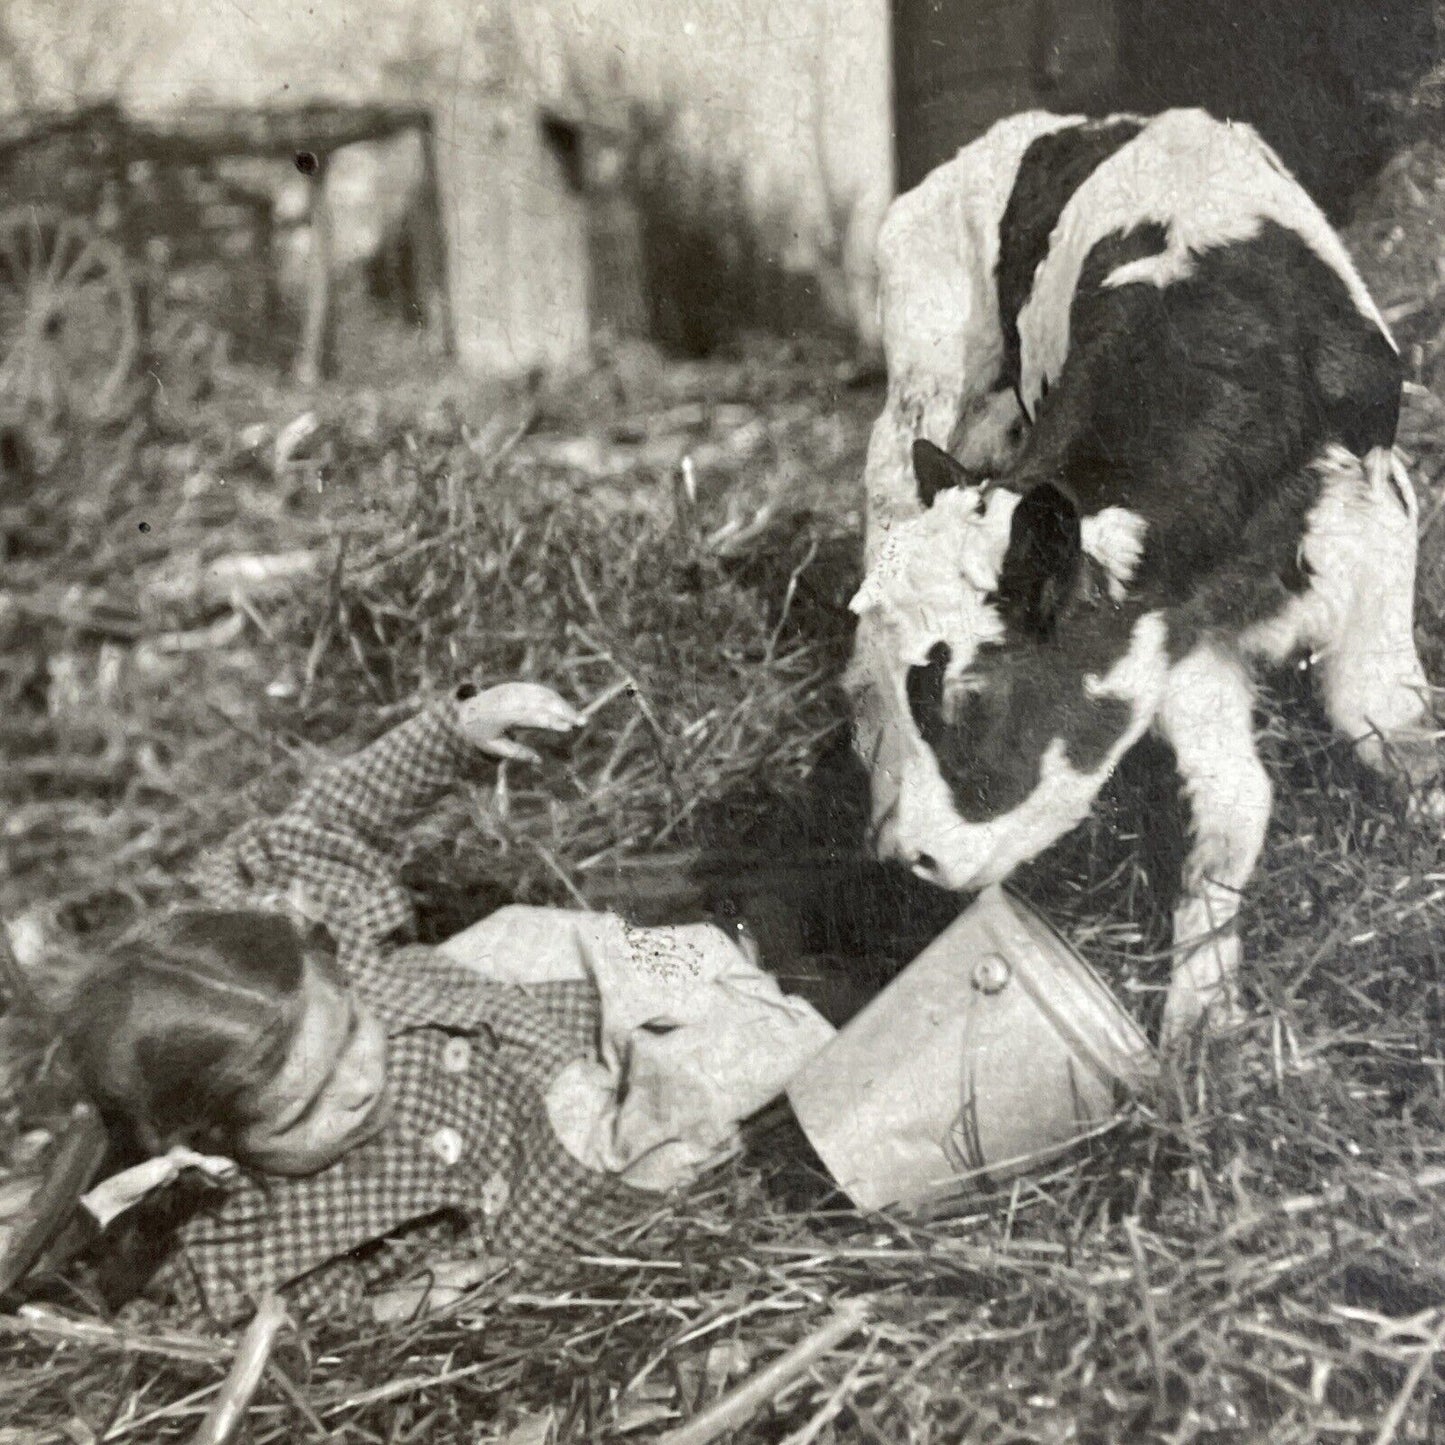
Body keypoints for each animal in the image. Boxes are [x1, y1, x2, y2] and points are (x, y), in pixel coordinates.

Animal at [843, 109, 1433, 1040]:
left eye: (972, 695)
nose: (912, 854)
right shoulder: (1168, 637)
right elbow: (1231, 804)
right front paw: (1201, 1020)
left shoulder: (1375, 528)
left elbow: (1387, 726)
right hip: (918, 405)